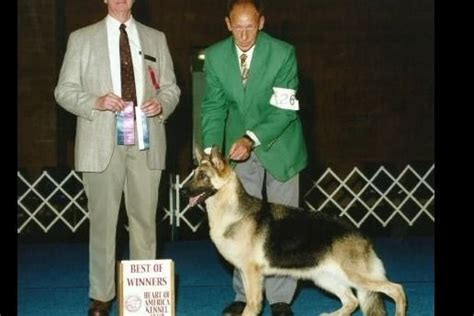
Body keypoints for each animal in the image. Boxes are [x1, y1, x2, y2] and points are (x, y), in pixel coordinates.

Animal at [183, 148, 406, 316]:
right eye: (193, 175)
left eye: (203, 176)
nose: (183, 191)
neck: (232, 210)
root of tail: (361, 234)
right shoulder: (245, 273)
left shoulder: (252, 273)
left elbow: (253, 305)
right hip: (325, 278)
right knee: (352, 301)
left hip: (356, 277)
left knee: (397, 290)